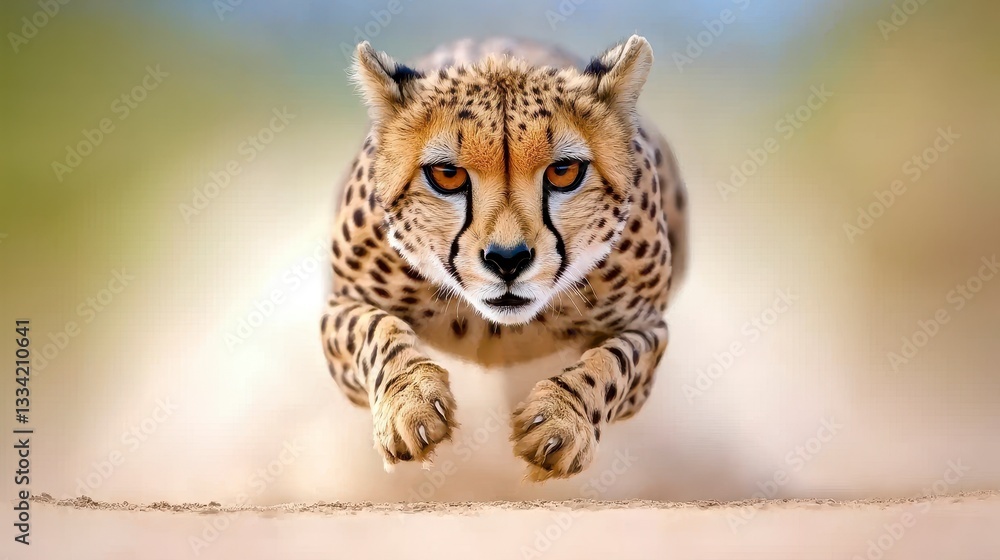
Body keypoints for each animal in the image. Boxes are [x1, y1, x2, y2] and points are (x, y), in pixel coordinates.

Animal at [321, 35, 689, 482]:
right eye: (446, 175)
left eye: (564, 172)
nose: (508, 260)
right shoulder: (341, 306)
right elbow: (378, 330)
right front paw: (411, 402)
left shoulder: (649, 326)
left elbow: (612, 361)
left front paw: (561, 420)